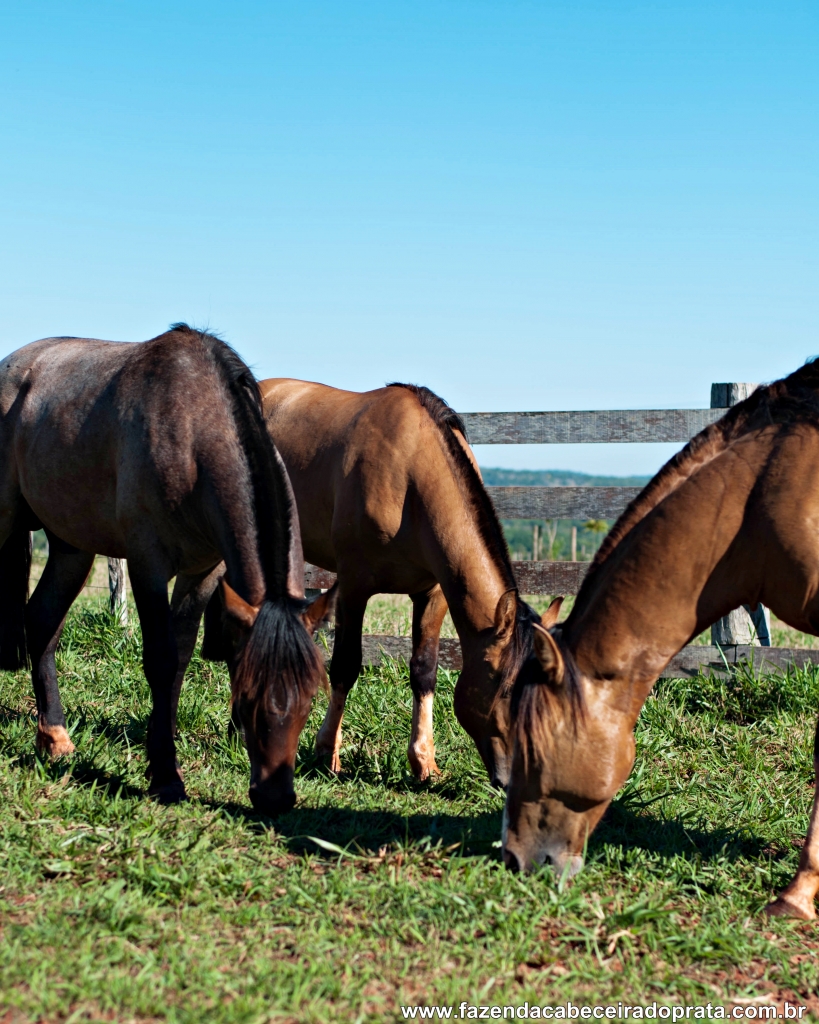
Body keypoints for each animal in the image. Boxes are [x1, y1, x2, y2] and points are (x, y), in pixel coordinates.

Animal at [0, 327, 333, 815]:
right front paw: (164, 777)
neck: (193, 432)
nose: (275, 798)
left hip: (71, 547)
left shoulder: (204, 572)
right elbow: (159, 659)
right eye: (246, 697)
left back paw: (54, 738)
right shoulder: (148, 562)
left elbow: (179, 657)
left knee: (42, 621)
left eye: (309, 698)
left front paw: (165, 749)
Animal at [257, 380, 536, 786]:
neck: (411, 475)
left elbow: (424, 670)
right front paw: (327, 754)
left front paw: (425, 763)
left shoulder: (432, 594)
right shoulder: (354, 586)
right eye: (505, 689)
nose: (513, 779)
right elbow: (345, 665)